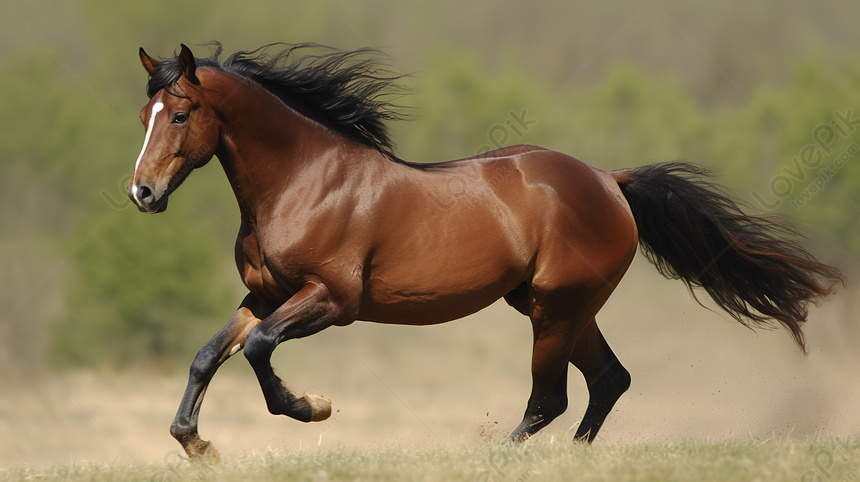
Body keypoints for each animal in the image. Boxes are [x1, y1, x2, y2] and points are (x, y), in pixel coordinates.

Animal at [127, 43, 848, 462]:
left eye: (182, 113)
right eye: (145, 116)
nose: (142, 192)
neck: (305, 181)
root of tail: (607, 180)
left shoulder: (332, 299)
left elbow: (256, 351)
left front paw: (313, 407)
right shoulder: (265, 295)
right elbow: (208, 355)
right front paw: (196, 443)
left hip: (556, 309)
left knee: (551, 398)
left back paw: (505, 454)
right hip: (555, 307)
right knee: (607, 381)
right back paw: (572, 459)